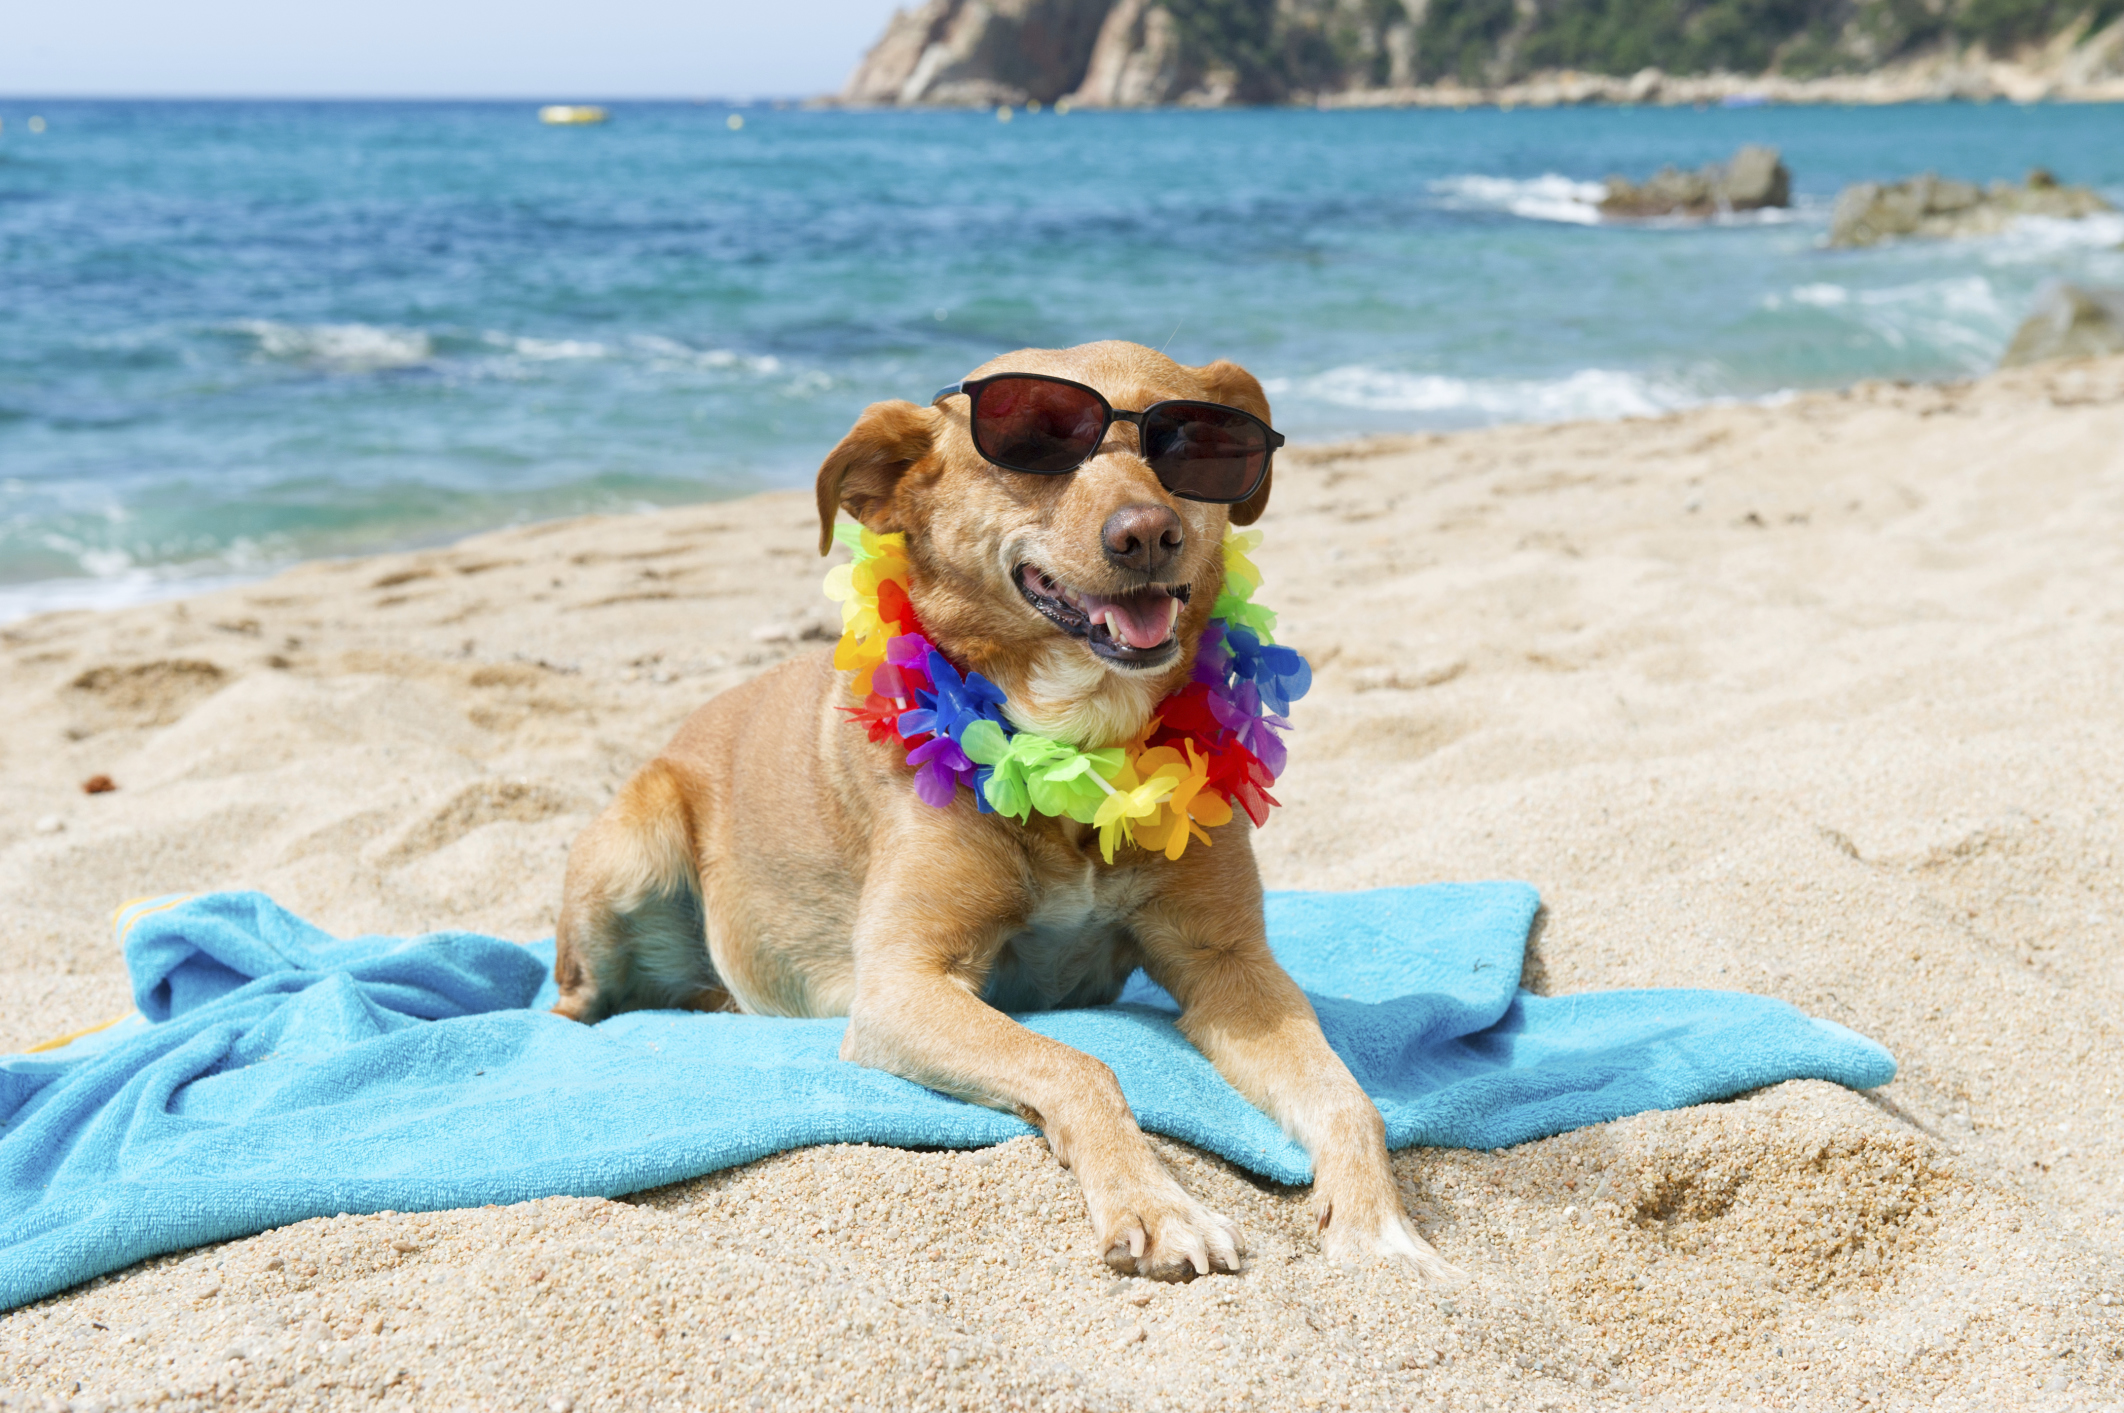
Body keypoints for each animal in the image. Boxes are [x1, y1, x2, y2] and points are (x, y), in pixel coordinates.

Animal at [552, 339, 1461, 1274]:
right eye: (1033, 442)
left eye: (1194, 442)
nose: (1148, 533)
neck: (1080, 749)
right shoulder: (904, 984)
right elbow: (1078, 1064)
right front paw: (1155, 1203)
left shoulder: (1231, 968)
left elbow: (1347, 1094)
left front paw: (1379, 1226)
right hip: (635, 847)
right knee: (571, 995)